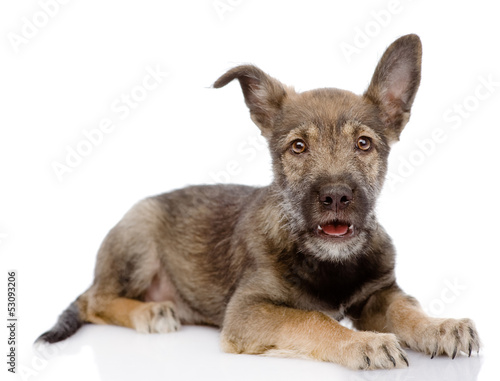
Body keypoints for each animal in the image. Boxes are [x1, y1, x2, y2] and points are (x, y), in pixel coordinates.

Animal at [36, 35, 480, 368]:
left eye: (364, 144)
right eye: (298, 147)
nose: (336, 196)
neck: (327, 261)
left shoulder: (380, 291)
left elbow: (406, 309)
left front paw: (440, 326)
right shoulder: (248, 310)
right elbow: (311, 320)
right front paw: (363, 343)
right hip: (139, 233)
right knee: (94, 300)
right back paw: (150, 312)